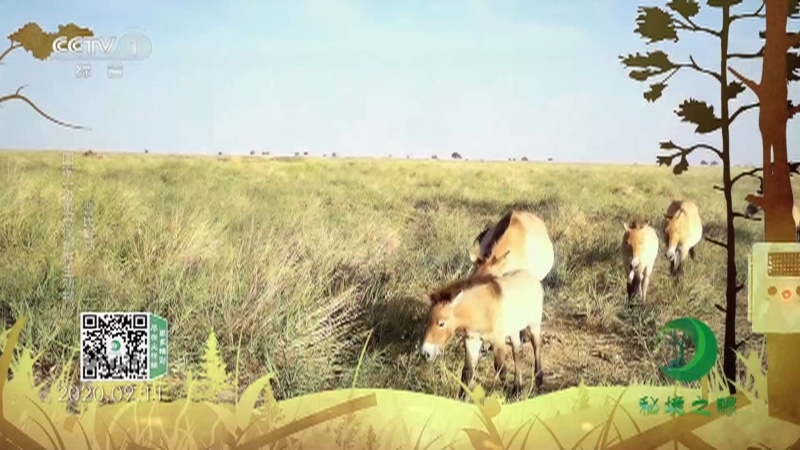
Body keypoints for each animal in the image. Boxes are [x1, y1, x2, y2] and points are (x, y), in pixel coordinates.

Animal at [419, 269, 544, 398]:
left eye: (441, 323)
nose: (425, 353)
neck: (482, 310)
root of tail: (531, 277)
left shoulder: (498, 341)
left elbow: (501, 370)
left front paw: (505, 395)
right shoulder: (472, 341)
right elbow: (467, 372)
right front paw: (461, 398)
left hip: (534, 325)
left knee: (536, 346)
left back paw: (538, 380)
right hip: (514, 330)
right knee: (516, 352)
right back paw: (517, 388)